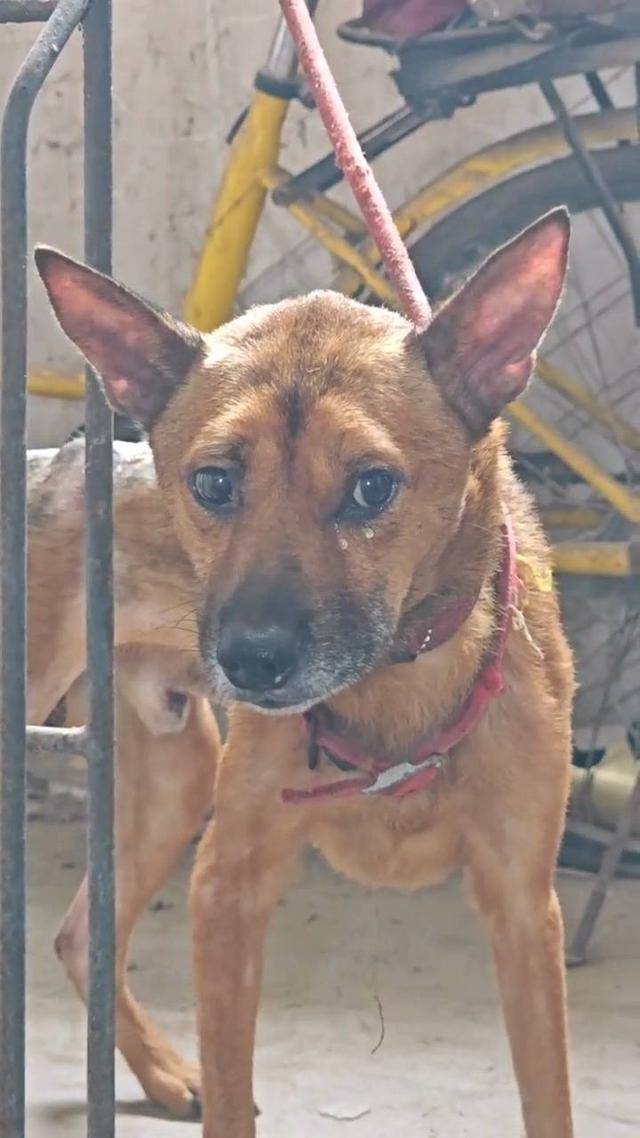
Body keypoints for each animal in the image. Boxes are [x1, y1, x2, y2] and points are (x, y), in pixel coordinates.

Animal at [35, 207, 575, 1138]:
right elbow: (232, 1102)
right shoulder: (227, 888)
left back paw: (162, 1075)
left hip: (178, 775)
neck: (395, 684)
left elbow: (551, 1105)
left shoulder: (523, 909)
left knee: (81, 935)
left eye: (372, 488)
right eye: (214, 482)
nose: (251, 662)